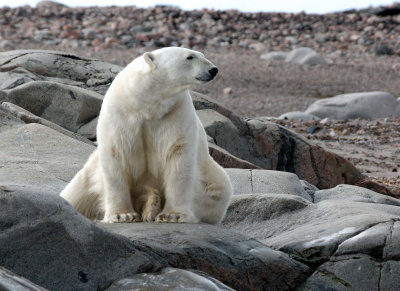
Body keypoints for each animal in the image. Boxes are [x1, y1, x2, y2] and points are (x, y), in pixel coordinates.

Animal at [60, 46, 233, 225]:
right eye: (190, 57)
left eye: (202, 55)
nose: (213, 69)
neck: (146, 104)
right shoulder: (120, 113)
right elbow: (116, 155)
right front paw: (122, 215)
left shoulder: (175, 112)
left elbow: (178, 157)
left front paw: (173, 215)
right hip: (87, 176)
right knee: (75, 195)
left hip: (212, 177)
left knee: (218, 190)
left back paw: (152, 202)